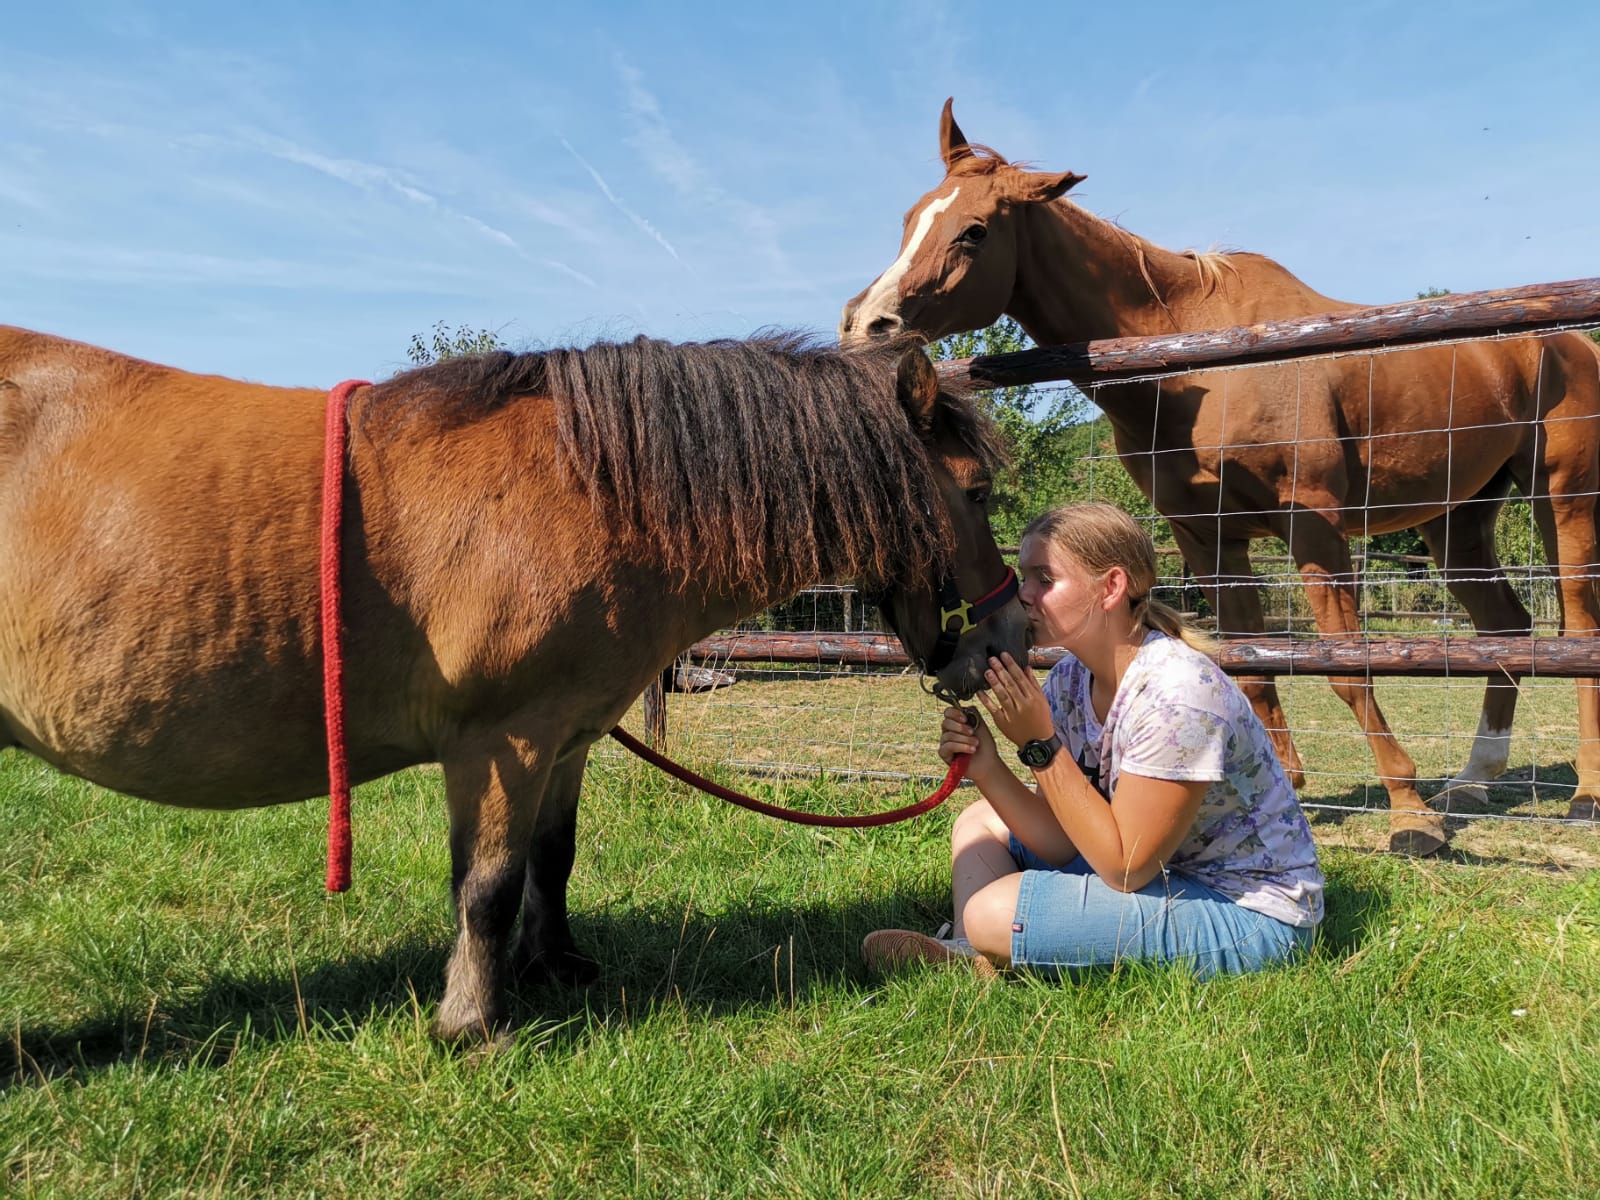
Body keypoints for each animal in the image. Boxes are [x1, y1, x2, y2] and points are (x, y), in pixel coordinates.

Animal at [0, 326, 1027, 1041]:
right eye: (976, 494)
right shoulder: (501, 742)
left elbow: (551, 859)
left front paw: (552, 966)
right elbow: (487, 883)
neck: (581, 490)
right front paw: (473, 1021)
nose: (1007, 636)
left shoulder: (564, 739)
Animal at [839, 99, 1600, 852]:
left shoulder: (1314, 530)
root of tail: (1563, 341)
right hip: (1458, 520)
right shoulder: (1208, 538)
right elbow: (1251, 668)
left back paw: (1582, 797)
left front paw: (1410, 814)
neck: (1195, 363)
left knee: (1575, 632)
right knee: (1505, 630)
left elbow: (1347, 668)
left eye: (973, 232)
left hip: (1561, 500)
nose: (864, 324)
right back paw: (1474, 780)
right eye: (910, 218)